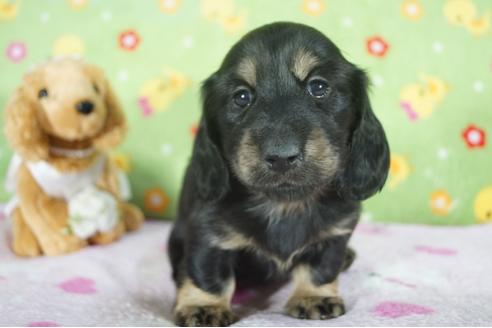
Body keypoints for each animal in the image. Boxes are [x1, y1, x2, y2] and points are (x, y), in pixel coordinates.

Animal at [167, 21, 390, 326]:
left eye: (319, 86)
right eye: (241, 97)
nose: (281, 156)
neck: (285, 204)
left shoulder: (335, 232)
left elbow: (321, 267)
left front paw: (314, 297)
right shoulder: (207, 232)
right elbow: (207, 272)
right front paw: (204, 307)